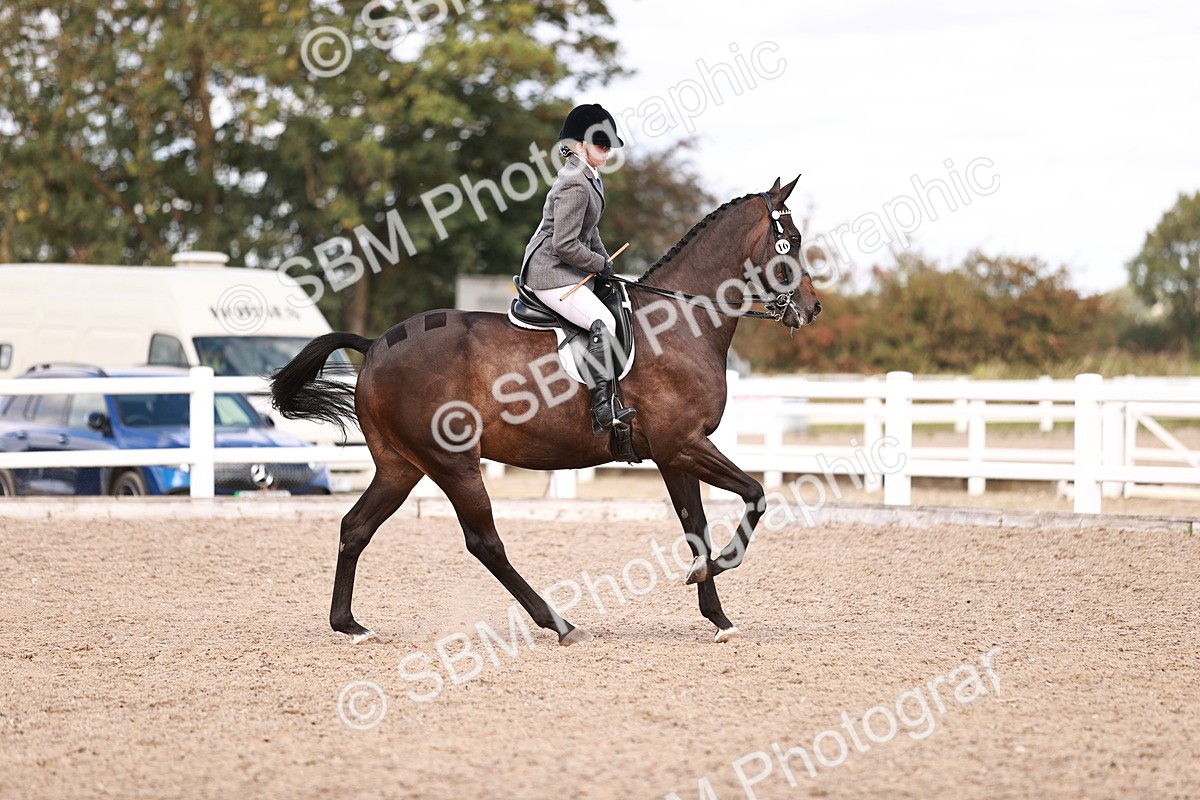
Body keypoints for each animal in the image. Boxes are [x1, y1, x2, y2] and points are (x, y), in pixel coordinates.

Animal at [271, 176, 822, 645]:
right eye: (790, 240)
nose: (813, 308)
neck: (682, 321)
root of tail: (376, 344)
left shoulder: (673, 454)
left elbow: (696, 529)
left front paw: (717, 614)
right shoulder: (684, 444)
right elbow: (755, 496)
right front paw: (716, 571)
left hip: (401, 465)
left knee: (356, 527)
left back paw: (349, 625)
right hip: (452, 463)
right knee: (483, 542)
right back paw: (559, 623)